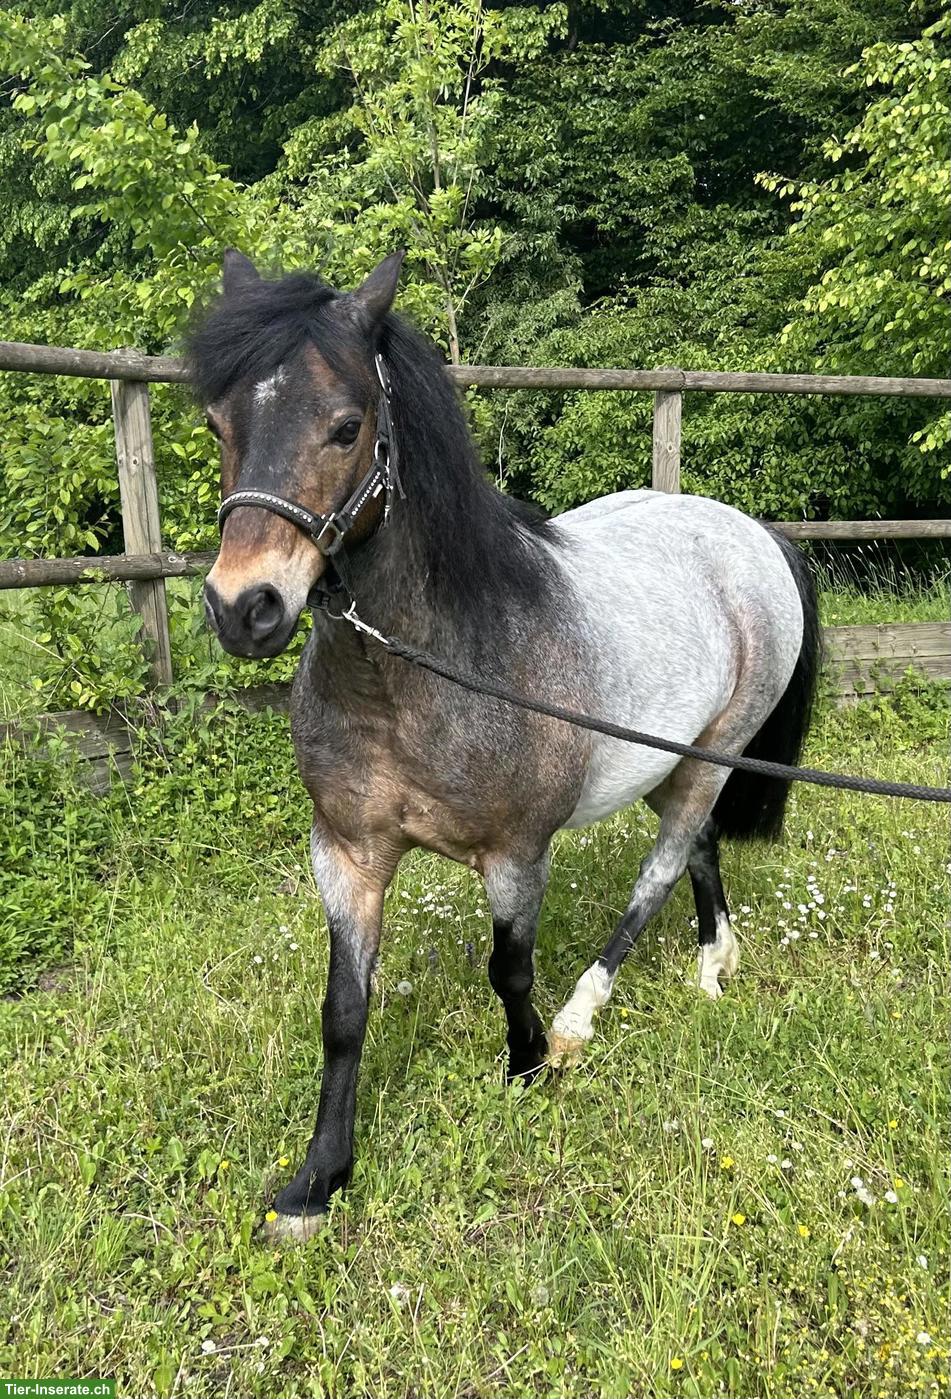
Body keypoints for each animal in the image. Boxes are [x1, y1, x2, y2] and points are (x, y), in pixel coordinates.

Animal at [191, 249, 820, 1242]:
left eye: (345, 427)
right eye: (218, 422)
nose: (242, 606)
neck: (423, 670)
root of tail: (753, 534)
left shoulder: (517, 852)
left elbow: (508, 966)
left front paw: (526, 1064)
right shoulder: (348, 853)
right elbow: (344, 1008)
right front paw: (318, 1179)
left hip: (717, 752)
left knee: (661, 866)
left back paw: (580, 1018)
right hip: (673, 757)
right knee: (700, 849)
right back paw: (712, 961)